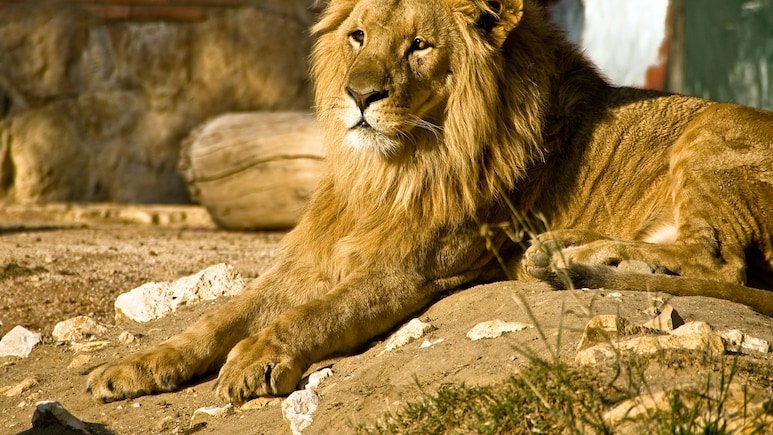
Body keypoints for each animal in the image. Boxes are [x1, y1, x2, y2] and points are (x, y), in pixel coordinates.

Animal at [87, 0, 773, 404]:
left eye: (418, 45)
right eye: (358, 36)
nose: (360, 95)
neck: (391, 170)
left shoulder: (410, 269)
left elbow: (317, 313)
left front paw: (257, 357)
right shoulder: (307, 260)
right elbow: (220, 317)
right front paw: (135, 367)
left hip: (709, 136)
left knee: (723, 264)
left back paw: (569, 259)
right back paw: (564, 254)